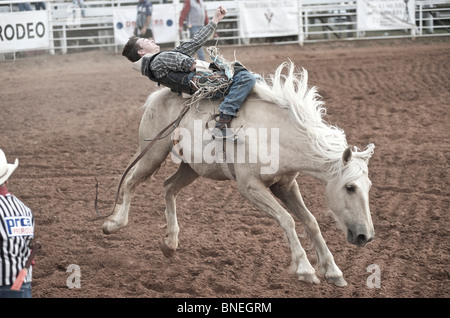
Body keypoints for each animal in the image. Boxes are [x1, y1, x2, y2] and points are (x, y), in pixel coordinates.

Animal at [102, 61, 376, 286]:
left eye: (369, 187)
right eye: (350, 187)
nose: (366, 236)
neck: (275, 134)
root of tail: (157, 96)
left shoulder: (285, 185)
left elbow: (310, 221)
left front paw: (333, 271)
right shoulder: (249, 186)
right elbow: (287, 219)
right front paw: (305, 269)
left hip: (192, 167)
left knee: (169, 187)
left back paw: (170, 243)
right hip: (152, 154)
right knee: (130, 181)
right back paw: (113, 223)